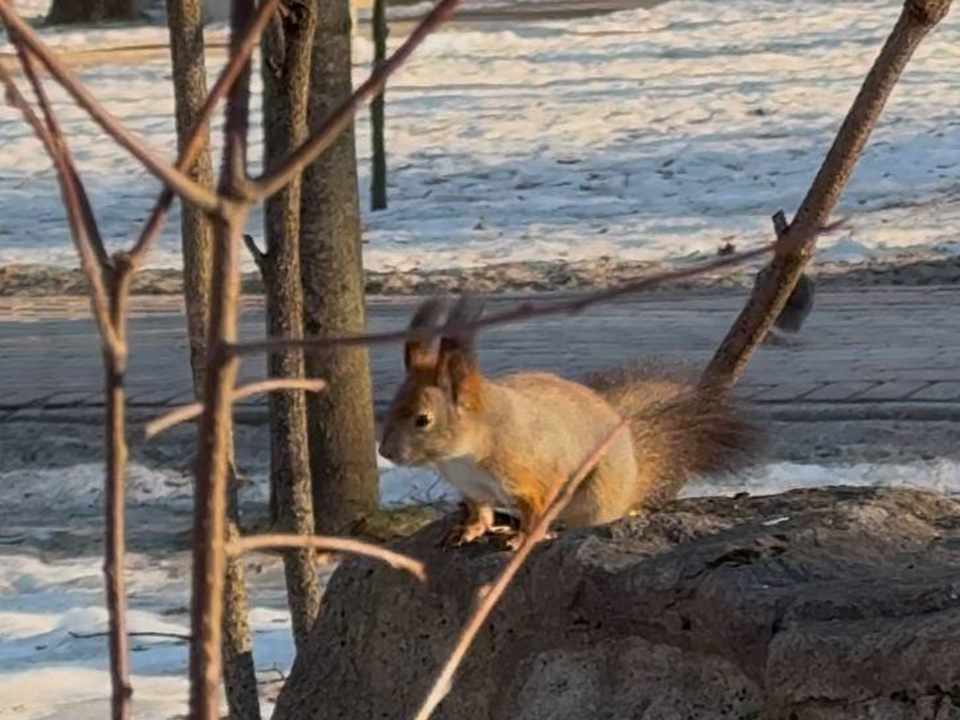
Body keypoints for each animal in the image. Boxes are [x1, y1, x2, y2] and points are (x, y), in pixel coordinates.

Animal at [378, 296, 760, 548]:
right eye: (393, 404)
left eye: (423, 419)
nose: (385, 452)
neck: (465, 454)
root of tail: (632, 478)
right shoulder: (473, 489)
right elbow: (479, 512)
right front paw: (469, 529)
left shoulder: (532, 478)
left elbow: (535, 511)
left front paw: (522, 539)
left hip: (594, 499)